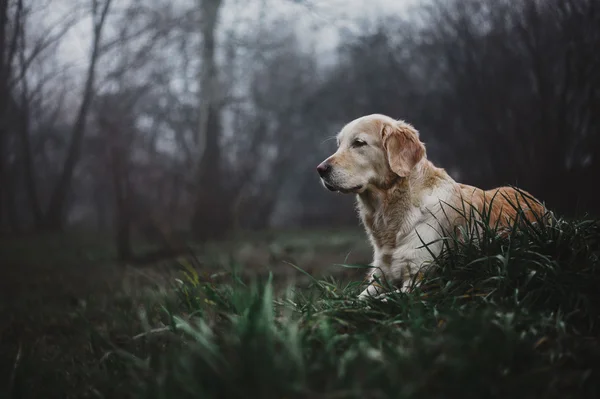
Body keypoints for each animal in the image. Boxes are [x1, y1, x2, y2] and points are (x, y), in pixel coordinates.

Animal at [318, 114, 548, 298]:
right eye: (339, 144)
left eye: (359, 143)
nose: (320, 169)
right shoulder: (379, 277)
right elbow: (355, 300)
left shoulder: (419, 279)